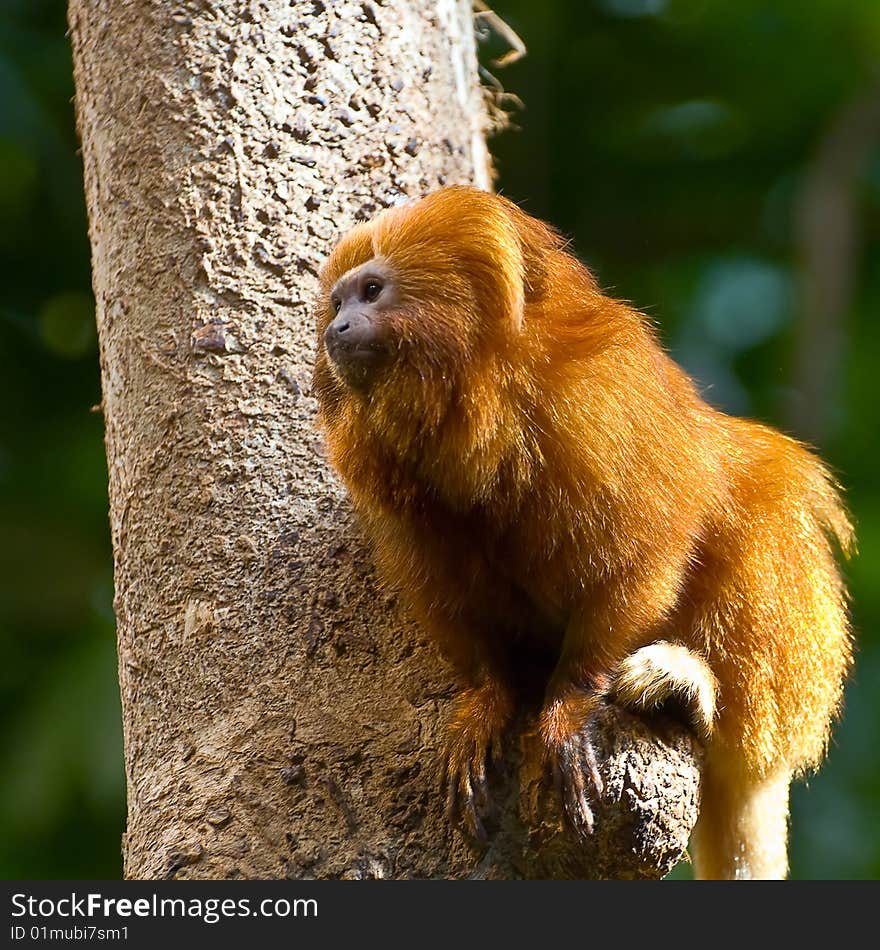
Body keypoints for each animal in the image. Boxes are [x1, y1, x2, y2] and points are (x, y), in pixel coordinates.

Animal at [312, 186, 852, 884]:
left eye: (371, 291)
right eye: (338, 302)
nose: (336, 328)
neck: (480, 409)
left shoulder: (600, 403)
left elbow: (647, 549)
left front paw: (569, 705)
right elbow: (452, 602)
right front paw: (487, 699)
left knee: (761, 507)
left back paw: (689, 684)